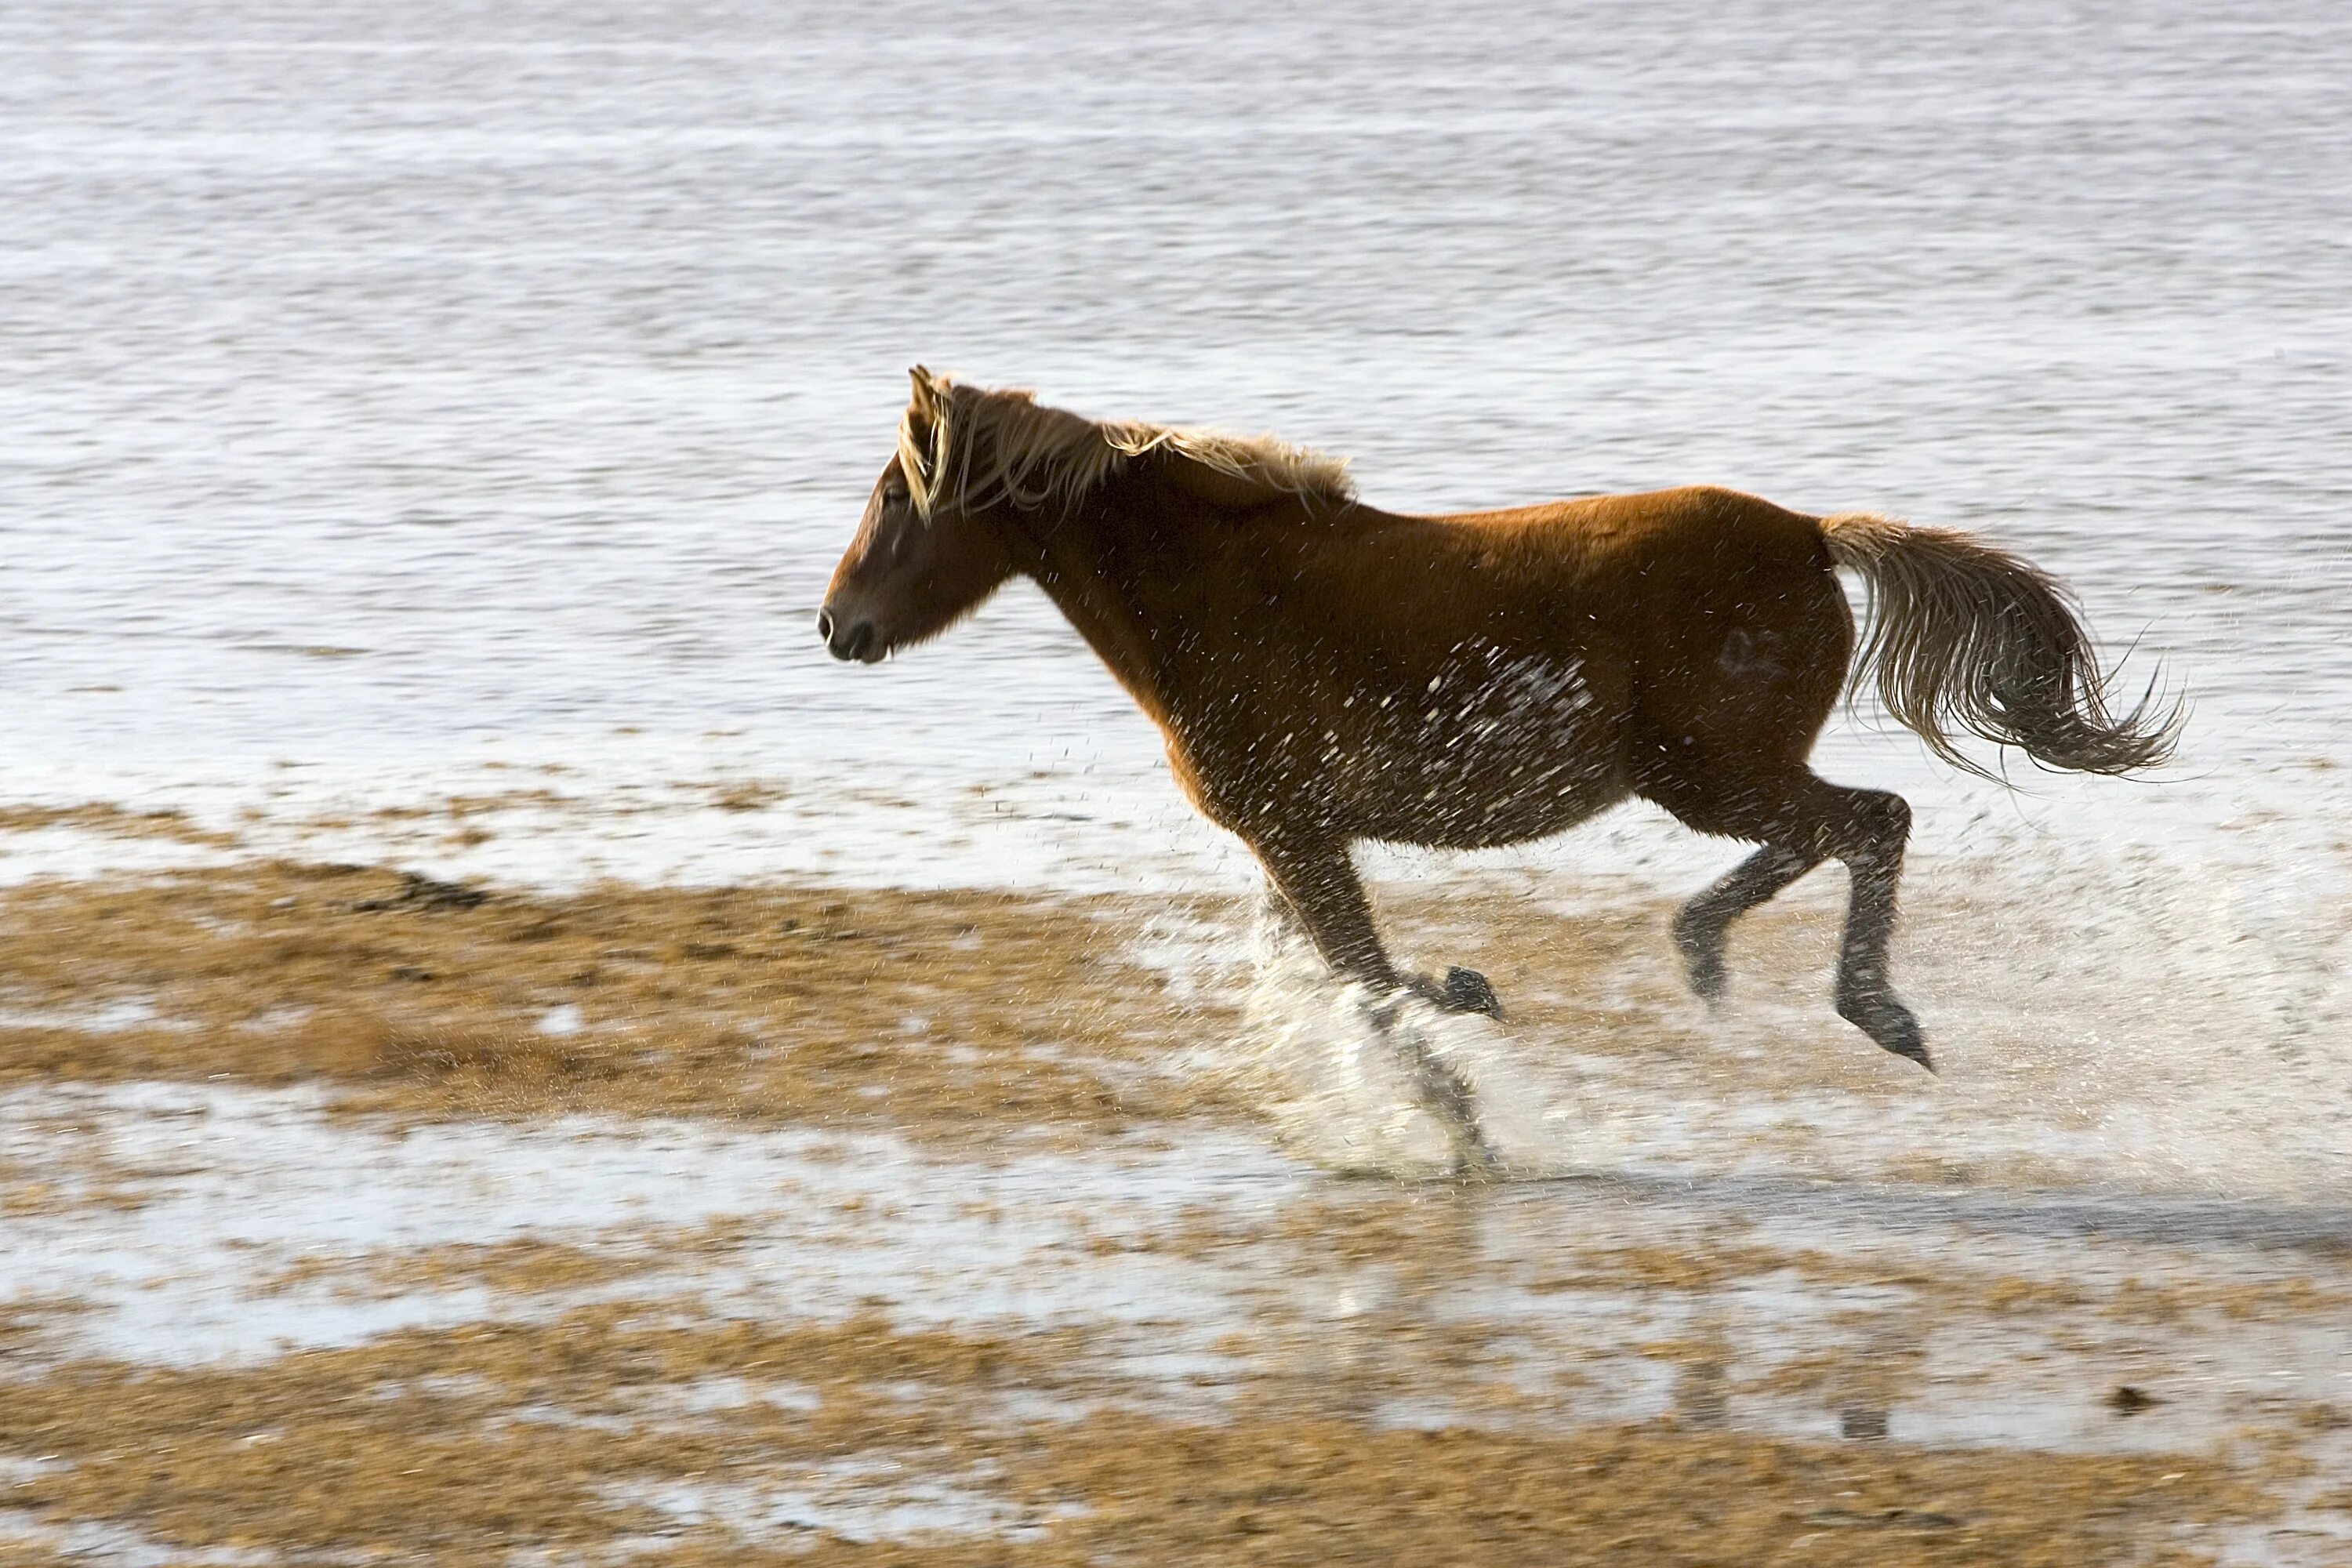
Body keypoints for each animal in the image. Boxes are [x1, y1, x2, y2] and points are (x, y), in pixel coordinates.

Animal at [818, 366, 2173, 1142]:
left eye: (892, 496)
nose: (838, 627)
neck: (1217, 591)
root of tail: (1808, 533)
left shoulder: (1295, 832)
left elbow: (1362, 983)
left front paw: (1463, 1122)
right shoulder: (1290, 837)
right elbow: (1343, 976)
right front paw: (1466, 1006)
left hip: (1708, 772)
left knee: (1872, 821)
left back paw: (1873, 1011)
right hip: (1708, 777)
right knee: (1829, 834)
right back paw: (1706, 954)